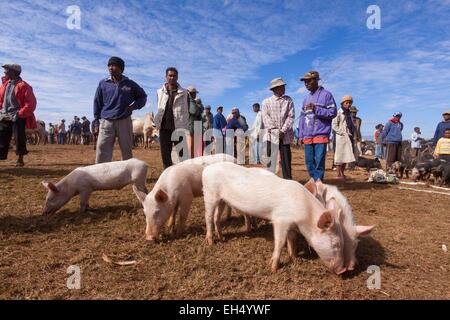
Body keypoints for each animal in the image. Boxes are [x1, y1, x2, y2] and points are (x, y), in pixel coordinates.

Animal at [202, 162, 346, 276]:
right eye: (336, 244)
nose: (343, 271)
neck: (304, 213)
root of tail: (207, 169)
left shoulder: (292, 225)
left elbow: (292, 239)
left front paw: (294, 257)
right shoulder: (280, 220)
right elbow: (280, 242)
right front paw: (273, 268)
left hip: (221, 200)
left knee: (216, 218)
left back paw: (222, 238)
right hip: (210, 195)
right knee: (208, 217)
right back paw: (210, 242)